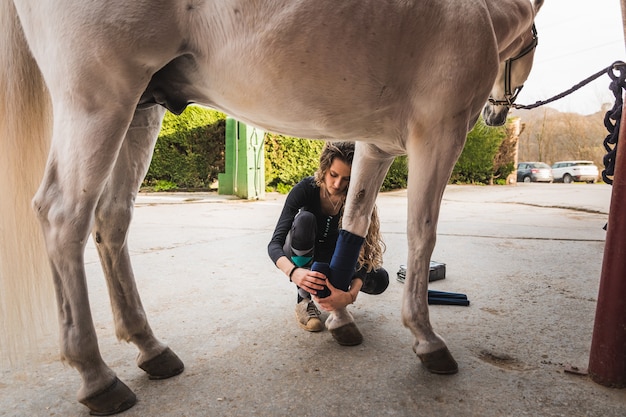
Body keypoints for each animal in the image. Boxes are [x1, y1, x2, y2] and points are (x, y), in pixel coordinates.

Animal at [1, 0, 540, 412]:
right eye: (532, 45)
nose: (497, 115)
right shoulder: (439, 133)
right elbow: (422, 233)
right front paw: (427, 340)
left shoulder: (374, 147)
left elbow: (352, 224)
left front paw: (335, 309)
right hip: (99, 101)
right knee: (62, 216)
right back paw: (96, 377)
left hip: (139, 109)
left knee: (112, 218)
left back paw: (150, 348)